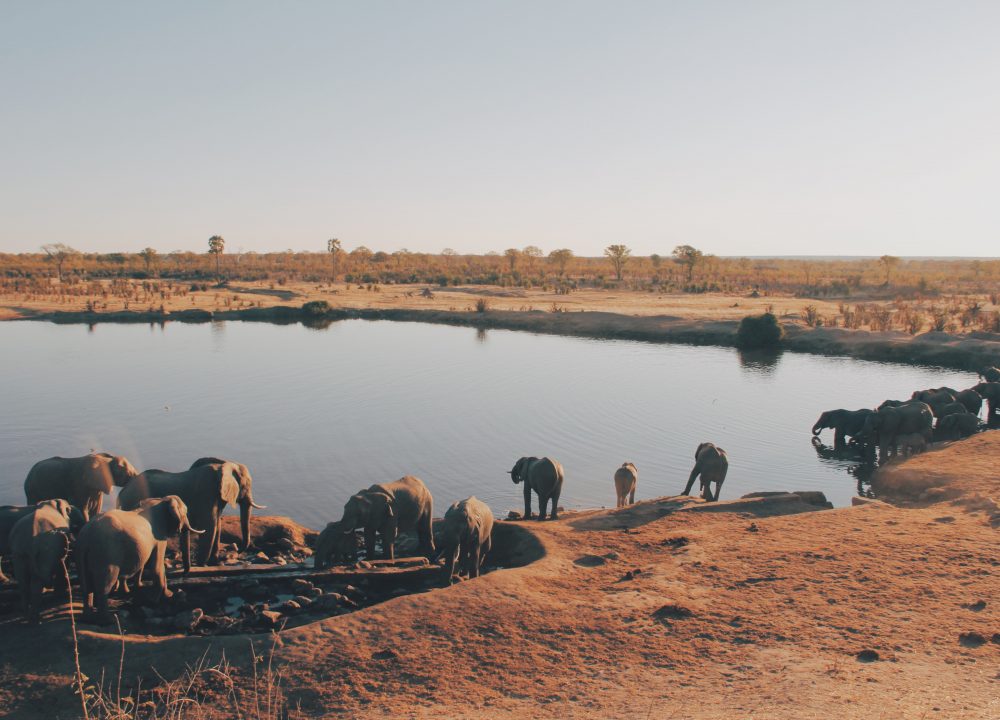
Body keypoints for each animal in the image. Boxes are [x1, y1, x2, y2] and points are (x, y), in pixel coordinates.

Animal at [76, 496, 203, 624]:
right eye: (185, 512)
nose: (184, 574)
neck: (162, 500)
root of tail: (86, 535)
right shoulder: (159, 535)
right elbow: (157, 565)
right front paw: (157, 600)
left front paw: (166, 595)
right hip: (106, 553)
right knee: (105, 584)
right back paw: (108, 620)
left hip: (84, 553)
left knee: (85, 584)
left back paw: (87, 618)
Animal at [116, 458, 266, 572]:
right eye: (246, 485)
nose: (238, 549)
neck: (224, 465)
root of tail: (121, 493)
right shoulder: (206, 493)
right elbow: (210, 526)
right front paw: (202, 565)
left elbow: (217, 525)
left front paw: (215, 563)